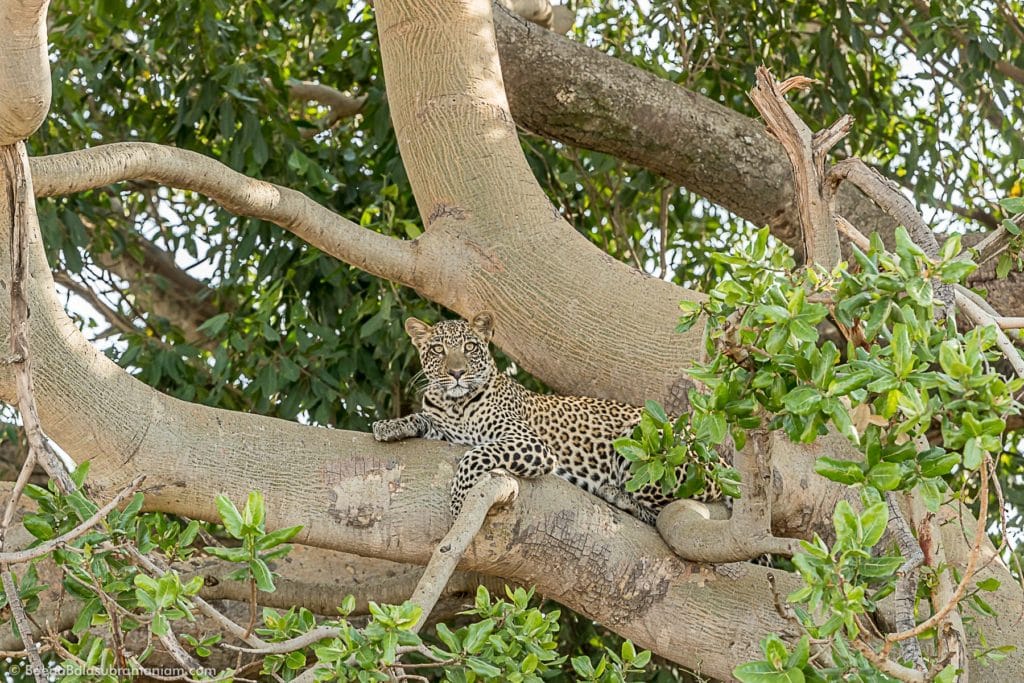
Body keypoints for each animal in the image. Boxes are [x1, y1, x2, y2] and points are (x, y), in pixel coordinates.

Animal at [368, 313, 729, 524]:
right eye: (437, 350)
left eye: (470, 347)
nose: (456, 373)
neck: (455, 403)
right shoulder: (448, 427)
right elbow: (424, 421)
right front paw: (390, 425)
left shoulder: (530, 444)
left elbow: (475, 455)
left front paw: (458, 503)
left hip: (649, 443)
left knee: (666, 508)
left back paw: (619, 495)